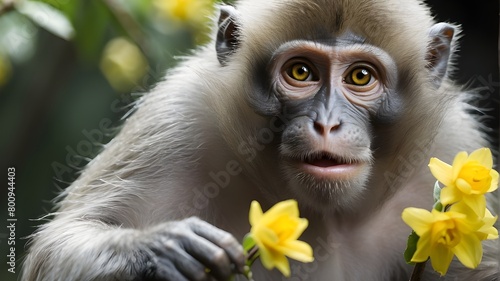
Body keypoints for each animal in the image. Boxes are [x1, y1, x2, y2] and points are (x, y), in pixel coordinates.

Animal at [21, 0, 498, 278]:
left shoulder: (452, 141)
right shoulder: (177, 117)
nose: (327, 124)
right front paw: (161, 249)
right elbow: (57, 245)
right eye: (301, 72)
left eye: (361, 76)